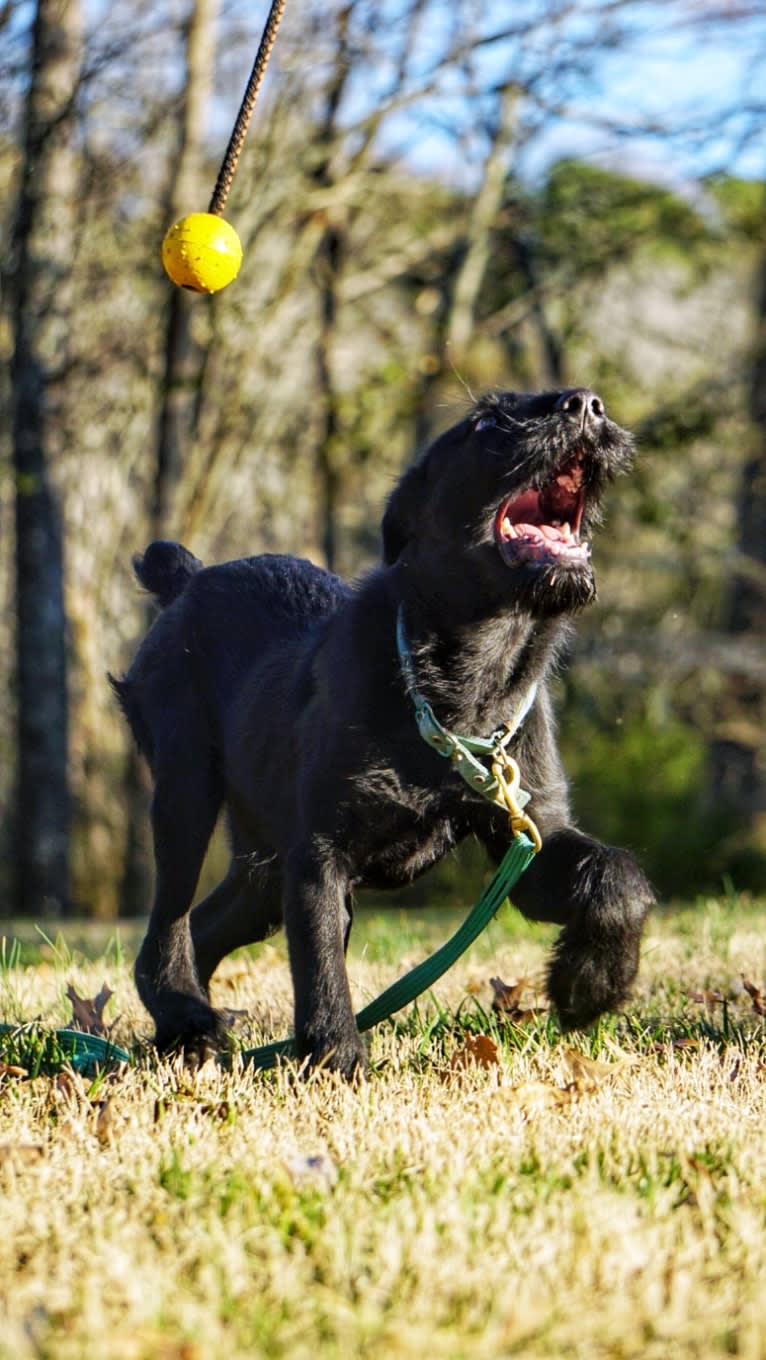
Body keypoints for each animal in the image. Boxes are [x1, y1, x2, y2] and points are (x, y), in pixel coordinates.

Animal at [113, 391, 653, 1071]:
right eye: (485, 422)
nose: (585, 404)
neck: (460, 692)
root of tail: (187, 579)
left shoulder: (528, 840)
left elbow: (617, 877)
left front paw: (590, 984)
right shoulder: (319, 854)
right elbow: (321, 965)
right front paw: (337, 1062)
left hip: (261, 867)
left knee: (202, 929)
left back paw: (188, 1035)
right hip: (185, 793)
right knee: (165, 930)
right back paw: (186, 1020)